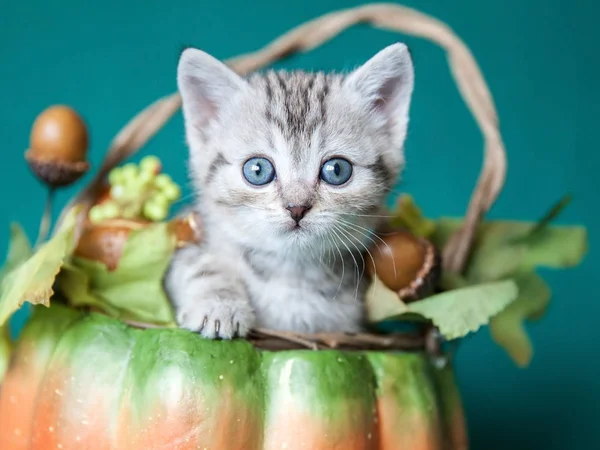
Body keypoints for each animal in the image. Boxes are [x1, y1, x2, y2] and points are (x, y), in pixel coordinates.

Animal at [166, 43, 414, 338]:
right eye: (258, 170)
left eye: (337, 170)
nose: (297, 208)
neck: (290, 272)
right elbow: (196, 265)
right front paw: (219, 305)